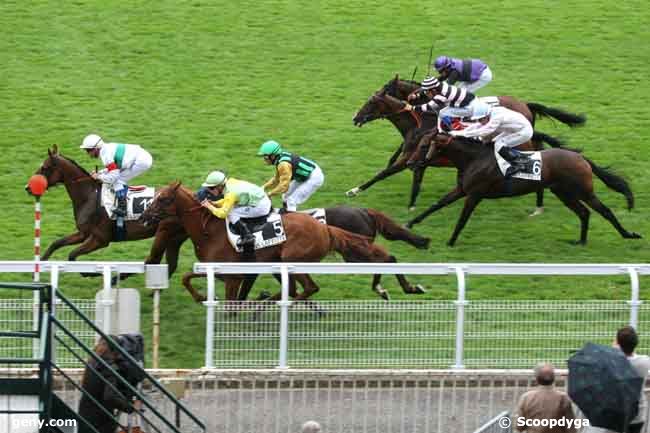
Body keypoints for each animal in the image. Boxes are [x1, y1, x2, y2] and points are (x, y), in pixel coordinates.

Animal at [26, 146, 187, 276]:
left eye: (45, 167)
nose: (28, 187)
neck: (90, 196)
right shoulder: (83, 233)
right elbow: (57, 243)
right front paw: (39, 263)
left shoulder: (100, 239)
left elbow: (72, 255)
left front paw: (90, 274)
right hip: (175, 236)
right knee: (170, 263)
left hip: (165, 231)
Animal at [346, 77, 584, 213]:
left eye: (371, 102)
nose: (355, 118)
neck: (422, 121)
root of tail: (526, 105)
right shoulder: (417, 158)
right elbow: (412, 178)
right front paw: (412, 205)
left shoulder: (410, 157)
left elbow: (383, 173)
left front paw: (354, 190)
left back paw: (538, 204)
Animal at [410, 131, 636, 246]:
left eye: (423, 146)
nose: (411, 163)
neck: (474, 159)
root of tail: (581, 158)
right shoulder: (462, 190)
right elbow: (437, 204)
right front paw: (412, 222)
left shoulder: (474, 194)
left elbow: (462, 219)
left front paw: (451, 241)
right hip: (564, 193)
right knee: (584, 213)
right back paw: (580, 241)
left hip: (583, 191)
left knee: (604, 211)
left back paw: (628, 234)